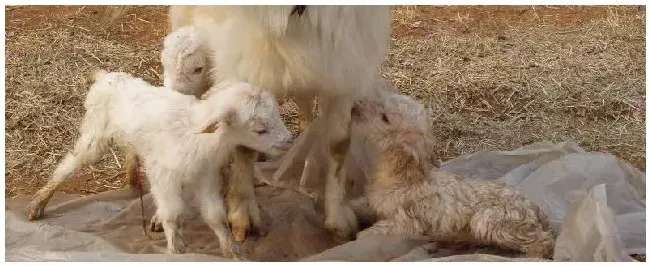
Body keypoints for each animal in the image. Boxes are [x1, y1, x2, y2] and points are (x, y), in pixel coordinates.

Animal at [27, 69, 292, 256]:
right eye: (259, 129)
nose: (289, 141)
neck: (198, 135)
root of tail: (105, 77)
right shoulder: (163, 174)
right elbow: (172, 214)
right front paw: (176, 250)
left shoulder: (204, 176)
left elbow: (215, 215)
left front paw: (232, 251)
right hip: (96, 133)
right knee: (70, 163)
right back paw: (39, 203)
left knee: (130, 149)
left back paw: (131, 175)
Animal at [165, 4, 392, 241]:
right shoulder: (246, 62)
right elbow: (244, 145)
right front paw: (242, 216)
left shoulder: (346, 67)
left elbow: (338, 145)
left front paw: (339, 219)